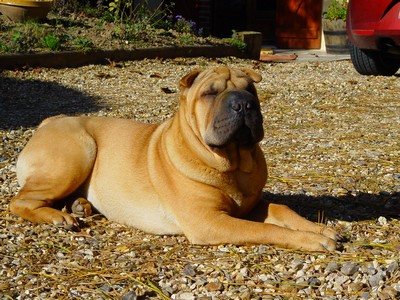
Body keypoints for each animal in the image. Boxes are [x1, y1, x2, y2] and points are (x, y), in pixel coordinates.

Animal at [10, 66, 338, 251]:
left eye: (251, 90)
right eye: (209, 94)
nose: (244, 103)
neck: (231, 162)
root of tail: (49, 121)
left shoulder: (252, 203)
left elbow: (283, 210)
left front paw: (318, 228)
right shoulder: (209, 220)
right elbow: (266, 229)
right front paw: (311, 240)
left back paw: (80, 205)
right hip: (77, 154)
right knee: (20, 201)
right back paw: (59, 217)